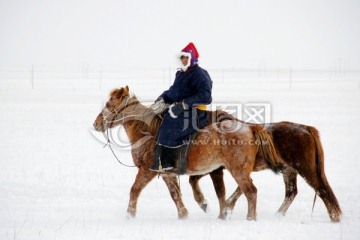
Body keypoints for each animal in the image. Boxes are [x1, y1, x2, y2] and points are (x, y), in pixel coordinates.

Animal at [92, 85, 282, 220]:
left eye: (108, 104)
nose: (96, 124)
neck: (148, 131)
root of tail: (250, 128)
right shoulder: (167, 173)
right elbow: (175, 194)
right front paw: (183, 214)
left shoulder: (146, 170)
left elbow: (135, 190)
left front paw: (129, 215)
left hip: (238, 170)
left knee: (251, 191)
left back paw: (250, 218)